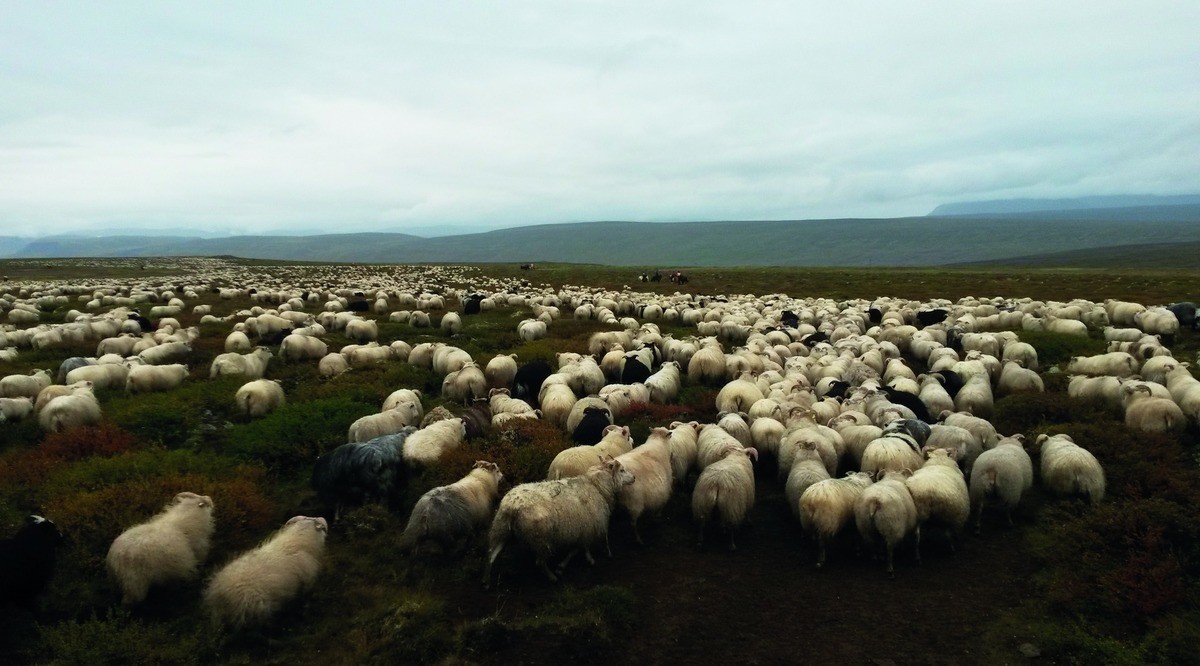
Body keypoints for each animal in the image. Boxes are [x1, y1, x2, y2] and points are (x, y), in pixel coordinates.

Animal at [487, 456, 638, 585]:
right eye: (622, 470)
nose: (634, 477)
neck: (597, 487)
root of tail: (512, 505)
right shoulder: (586, 527)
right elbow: (580, 548)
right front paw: (587, 560)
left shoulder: (580, 528)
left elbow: (576, 549)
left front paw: (563, 565)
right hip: (540, 539)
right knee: (540, 562)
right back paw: (551, 577)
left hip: (501, 529)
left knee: (491, 555)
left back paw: (486, 580)